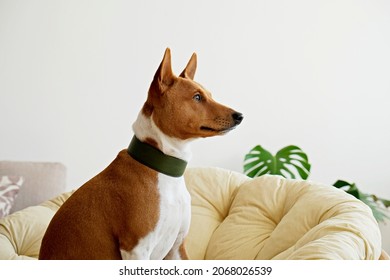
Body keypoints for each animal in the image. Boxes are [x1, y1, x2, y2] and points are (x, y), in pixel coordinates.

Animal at [38, 48, 242, 260]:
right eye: (197, 97)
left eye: (209, 95)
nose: (239, 116)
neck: (165, 171)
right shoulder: (136, 248)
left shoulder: (177, 247)